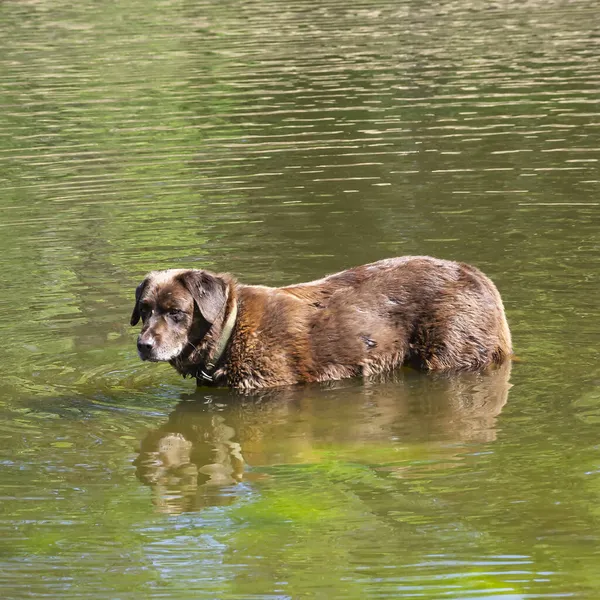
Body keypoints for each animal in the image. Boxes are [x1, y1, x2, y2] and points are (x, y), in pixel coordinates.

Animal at [130, 256, 510, 390]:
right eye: (144, 310)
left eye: (176, 312)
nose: (144, 345)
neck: (230, 331)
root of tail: (482, 280)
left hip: (447, 354)